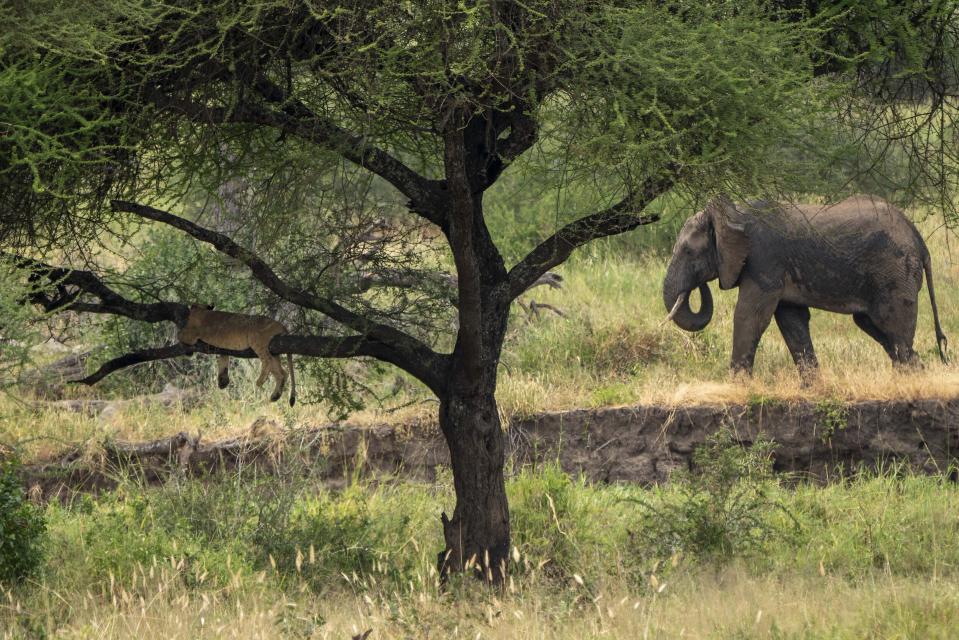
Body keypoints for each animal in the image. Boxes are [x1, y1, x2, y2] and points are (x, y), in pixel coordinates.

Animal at [664, 192, 948, 378]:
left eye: (689, 252)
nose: (697, 286)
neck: (733, 213)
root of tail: (919, 240)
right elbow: (791, 321)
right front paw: (813, 387)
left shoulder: (765, 260)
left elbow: (749, 315)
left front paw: (737, 385)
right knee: (877, 328)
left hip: (895, 271)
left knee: (894, 327)